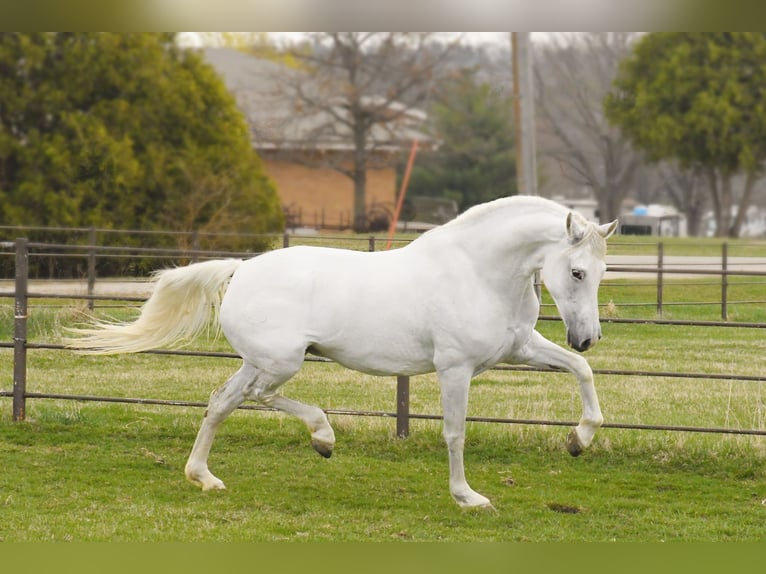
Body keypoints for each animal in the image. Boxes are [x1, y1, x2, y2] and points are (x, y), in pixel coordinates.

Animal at [66, 196, 616, 510]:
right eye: (576, 272)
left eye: (601, 272)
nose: (587, 335)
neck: (478, 272)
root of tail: (241, 268)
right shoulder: (454, 368)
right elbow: (455, 433)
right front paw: (468, 497)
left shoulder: (519, 347)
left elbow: (582, 372)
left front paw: (578, 439)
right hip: (281, 361)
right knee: (259, 397)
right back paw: (322, 436)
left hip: (260, 361)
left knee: (222, 401)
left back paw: (205, 478)